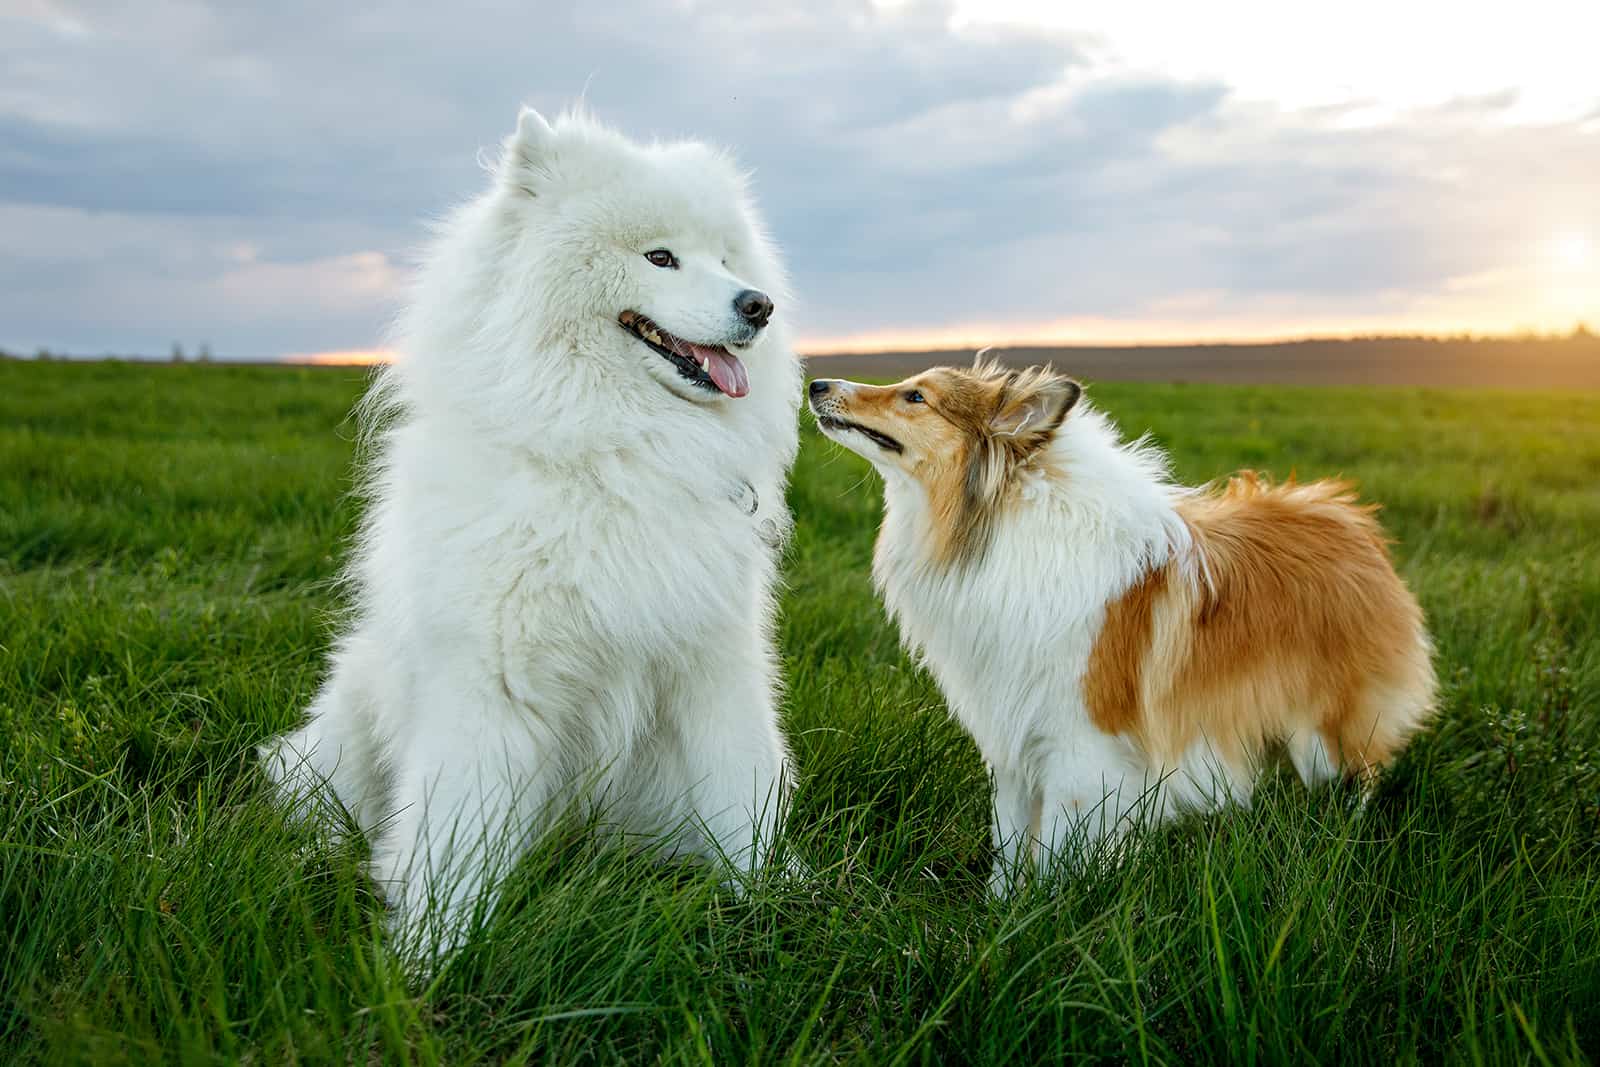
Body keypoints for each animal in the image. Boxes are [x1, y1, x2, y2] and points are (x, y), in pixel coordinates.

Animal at [265, 110, 812, 953]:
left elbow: (742, 784)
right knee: (319, 798)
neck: (614, 449)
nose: (759, 304)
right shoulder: (490, 684)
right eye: (660, 256)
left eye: (726, 260)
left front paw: (773, 897)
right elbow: (455, 829)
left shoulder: (712, 663)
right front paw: (431, 952)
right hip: (351, 706)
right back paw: (320, 852)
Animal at [812, 363, 1440, 889]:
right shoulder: (1014, 735)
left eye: (916, 396)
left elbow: (1059, 846)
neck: (999, 523)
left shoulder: (1081, 745)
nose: (816, 383)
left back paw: (1344, 836)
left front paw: (1046, 914)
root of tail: (1347, 518)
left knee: (1362, 775)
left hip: (1329, 729)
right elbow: (1010, 841)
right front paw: (1000, 908)